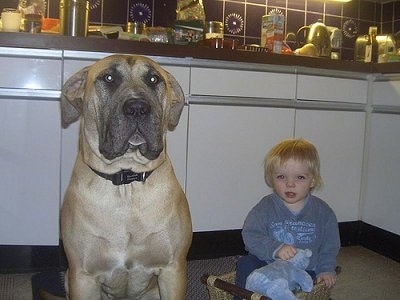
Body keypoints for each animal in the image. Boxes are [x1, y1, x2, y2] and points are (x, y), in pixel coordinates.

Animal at [57, 55, 192, 298]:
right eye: (109, 78)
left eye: (153, 79)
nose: (138, 108)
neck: (126, 183)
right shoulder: (82, 277)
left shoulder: (173, 269)